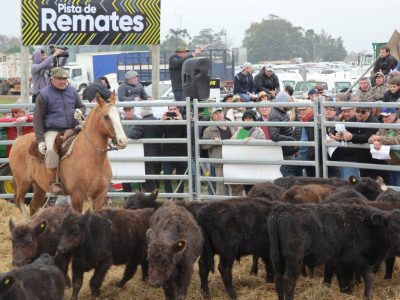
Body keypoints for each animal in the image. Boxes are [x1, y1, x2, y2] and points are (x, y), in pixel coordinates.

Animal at [268, 202, 400, 300]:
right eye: (392, 229)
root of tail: (283, 208)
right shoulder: (360, 260)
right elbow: (367, 279)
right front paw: (367, 296)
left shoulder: (344, 262)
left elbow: (346, 282)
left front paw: (347, 294)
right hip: (294, 257)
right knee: (289, 280)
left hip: (277, 257)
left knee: (278, 279)